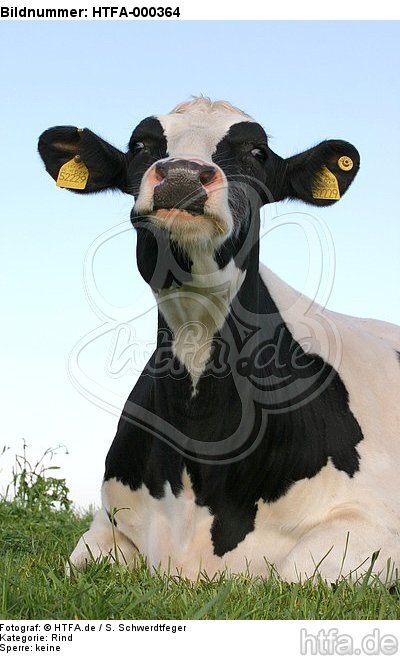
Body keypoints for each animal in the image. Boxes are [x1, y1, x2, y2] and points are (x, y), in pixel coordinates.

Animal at [38, 97, 400, 583]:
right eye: (140, 146)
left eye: (258, 153)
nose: (183, 174)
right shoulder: (109, 519)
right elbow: (78, 562)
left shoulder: (370, 526)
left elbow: (295, 571)